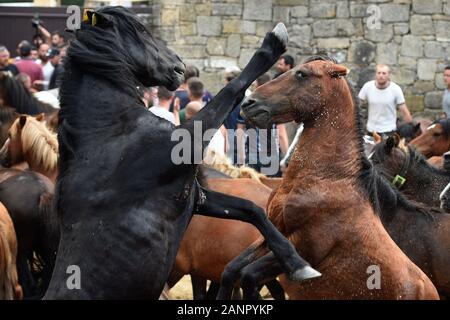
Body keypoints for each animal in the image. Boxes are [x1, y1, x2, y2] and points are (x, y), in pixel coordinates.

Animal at [44, 6, 316, 298]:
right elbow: (232, 89)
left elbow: (252, 209)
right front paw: (274, 40)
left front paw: (297, 263)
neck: (110, 132)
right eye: (142, 29)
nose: (179, 66)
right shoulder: (187, 146)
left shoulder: (195, 197)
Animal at [221, 55, 440, 300]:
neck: (327, 179)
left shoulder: (306, 250)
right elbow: (231, 269)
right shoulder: (274, 237)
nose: (248, 104)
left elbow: (248, 275)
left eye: (302, 74)